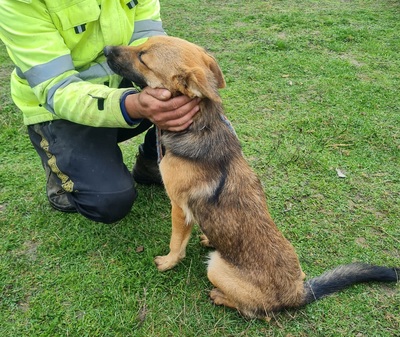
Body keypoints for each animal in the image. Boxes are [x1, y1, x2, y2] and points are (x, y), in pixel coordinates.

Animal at [104, 36, 400, 318]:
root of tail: (298, 293)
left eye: (143, 57)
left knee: (256, 312)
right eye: (141, 44)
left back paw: (221, 297)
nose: (105, 49)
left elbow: (176, 243)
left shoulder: (179, 208)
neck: (200, 124)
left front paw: (168, 262)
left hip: (215, 268)